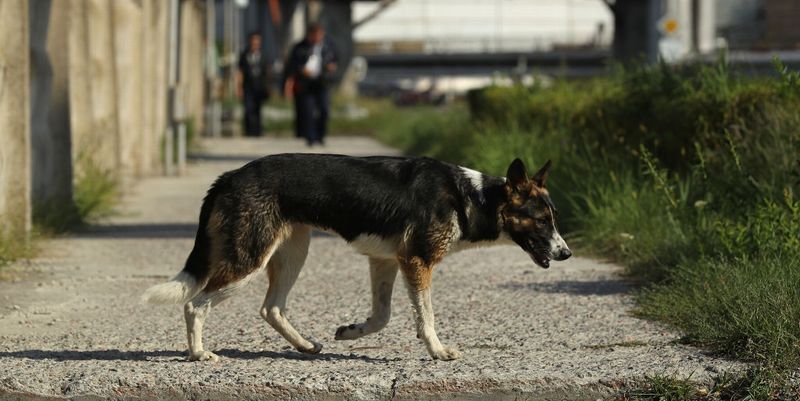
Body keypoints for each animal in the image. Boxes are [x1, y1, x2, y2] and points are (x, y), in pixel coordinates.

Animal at [142, 153, 568, 360]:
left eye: (554, 218)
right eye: (541, 220)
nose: (566, 253)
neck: (472, 198)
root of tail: (229, 177)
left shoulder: (386, 261)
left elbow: (382, 316)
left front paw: (350, 332)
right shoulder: (417, 262)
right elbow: (426, 318)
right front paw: (437, 351)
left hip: (293, 251)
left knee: (272, 308)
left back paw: (305, 346)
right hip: (249, 258)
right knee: (196, 304)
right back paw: (199, 354)